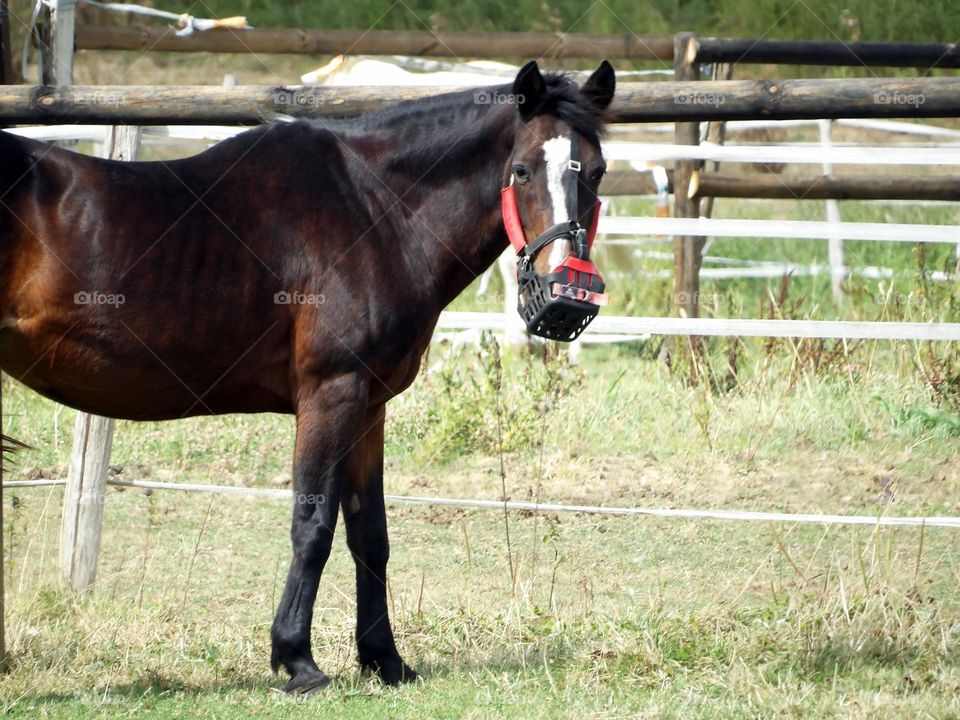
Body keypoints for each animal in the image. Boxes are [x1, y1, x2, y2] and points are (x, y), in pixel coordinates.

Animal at [0, 59, 615, 692]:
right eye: (521, 169)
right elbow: (313, 525)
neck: (373, 208)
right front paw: (298, 659)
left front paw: (385, 660)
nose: (566, 294)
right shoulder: (331, 394)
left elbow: (370, 534)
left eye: (596, 171)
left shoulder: (369, 405)